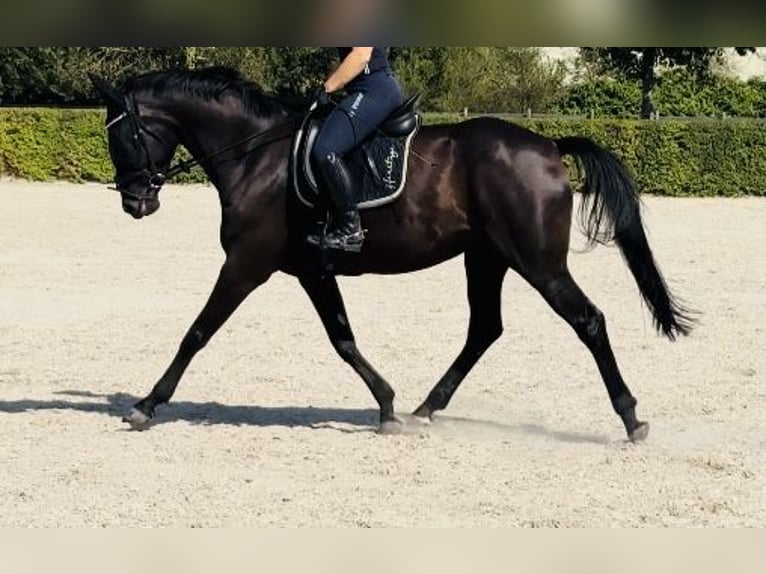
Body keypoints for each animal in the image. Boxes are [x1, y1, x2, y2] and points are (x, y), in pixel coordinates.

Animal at [90, 66, 696, 440]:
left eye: (121, 136)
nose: (135, 202)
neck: (256, 158)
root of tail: (548, 145)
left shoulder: (246, 265)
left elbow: (197, 331)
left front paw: (146, 405)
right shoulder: (312, 269)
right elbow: (342, 338)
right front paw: (385, 405)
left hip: (538, 263)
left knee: (587, 320)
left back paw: (631, 419)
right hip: (487, 257)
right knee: (485, 328)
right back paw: (426, 408)